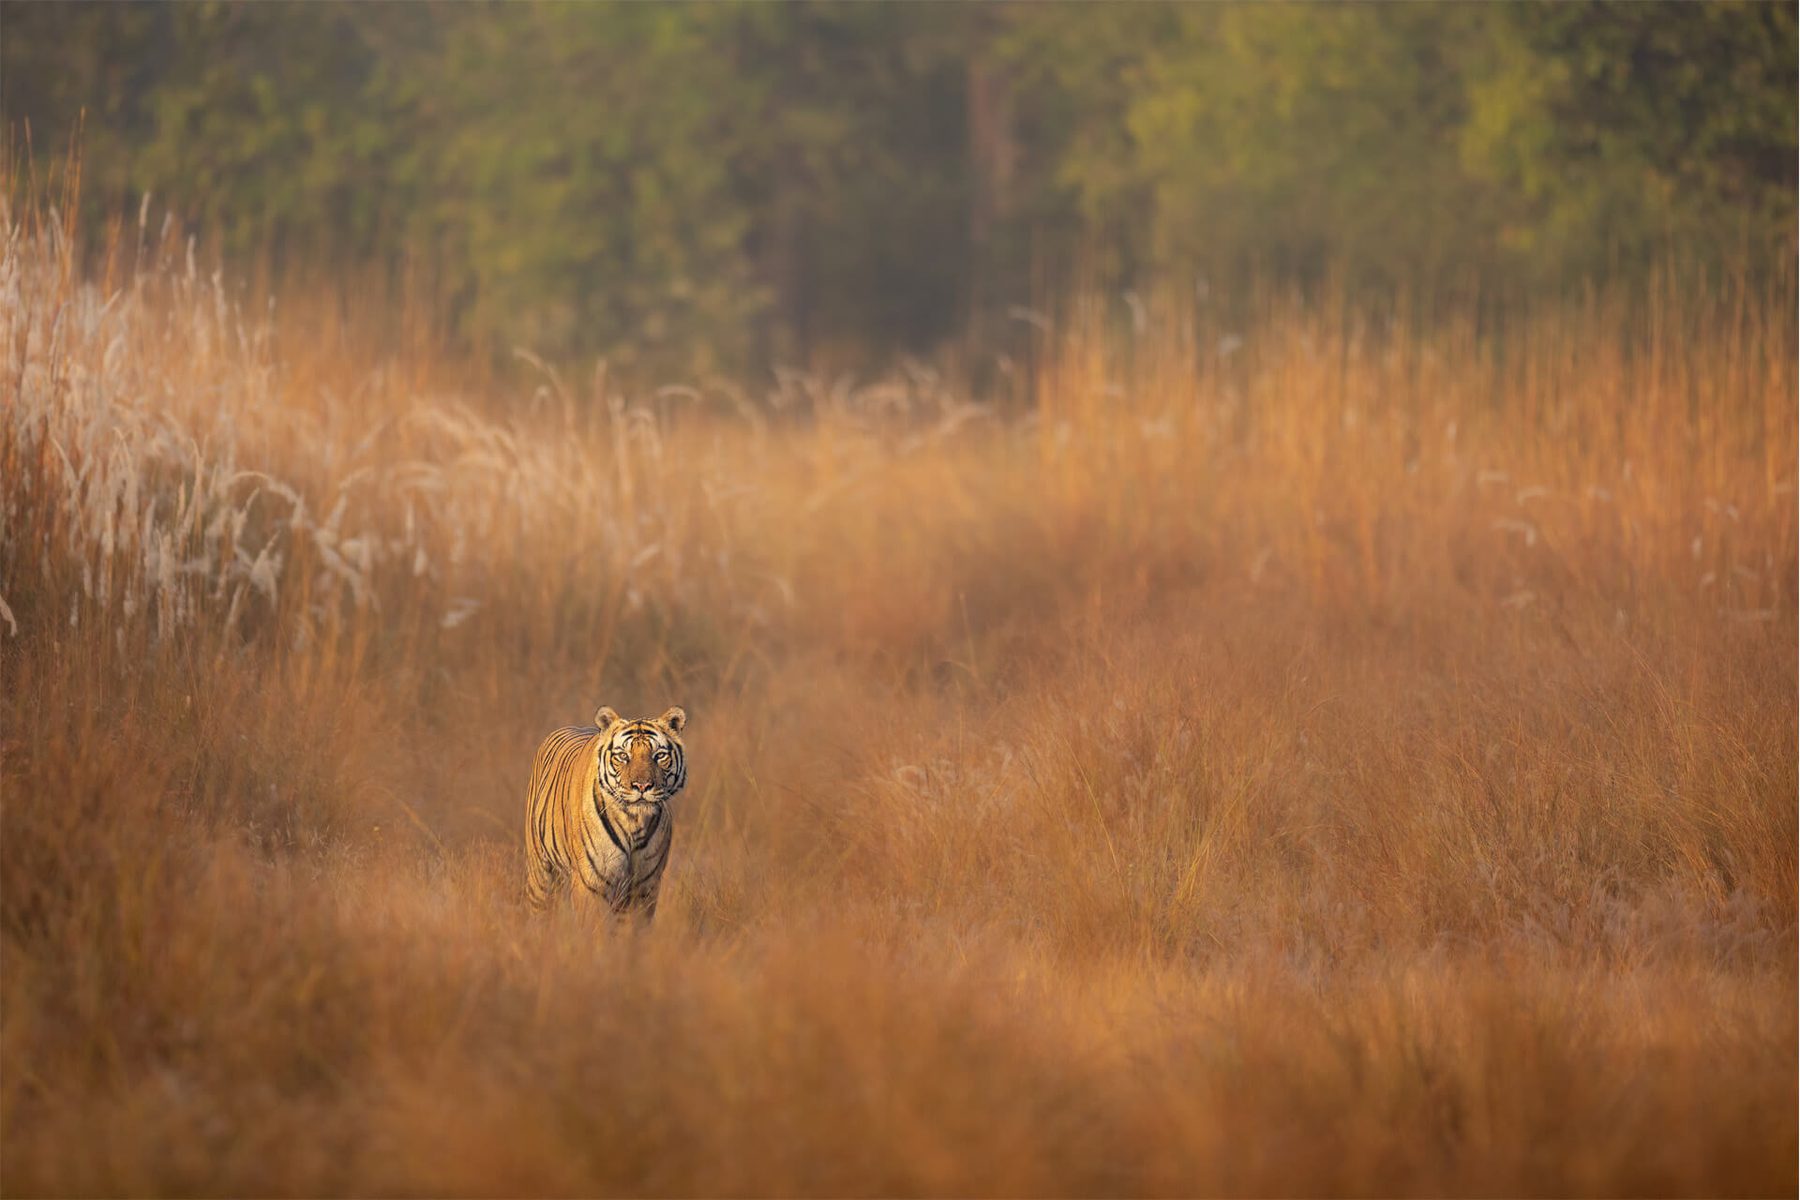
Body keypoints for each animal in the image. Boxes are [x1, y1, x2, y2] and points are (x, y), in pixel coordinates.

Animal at [524, 705, 688, 921]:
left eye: (659, 756)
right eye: (623, 756)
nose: (642, 786)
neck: (634, 822)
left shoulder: (645, 886)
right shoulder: (592, 883)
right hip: (541, 874)